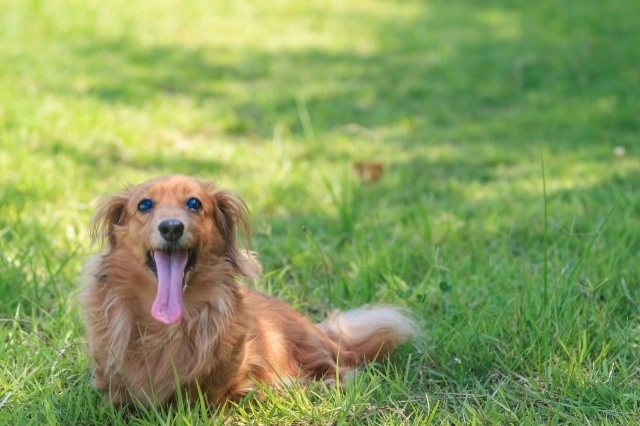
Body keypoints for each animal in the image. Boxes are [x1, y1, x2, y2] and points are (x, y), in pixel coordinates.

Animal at [79, 175, 416, 408]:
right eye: (144, 205)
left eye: (194, 204)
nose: (172, 227)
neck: (165, 327)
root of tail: (325, 333)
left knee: (340, 371)